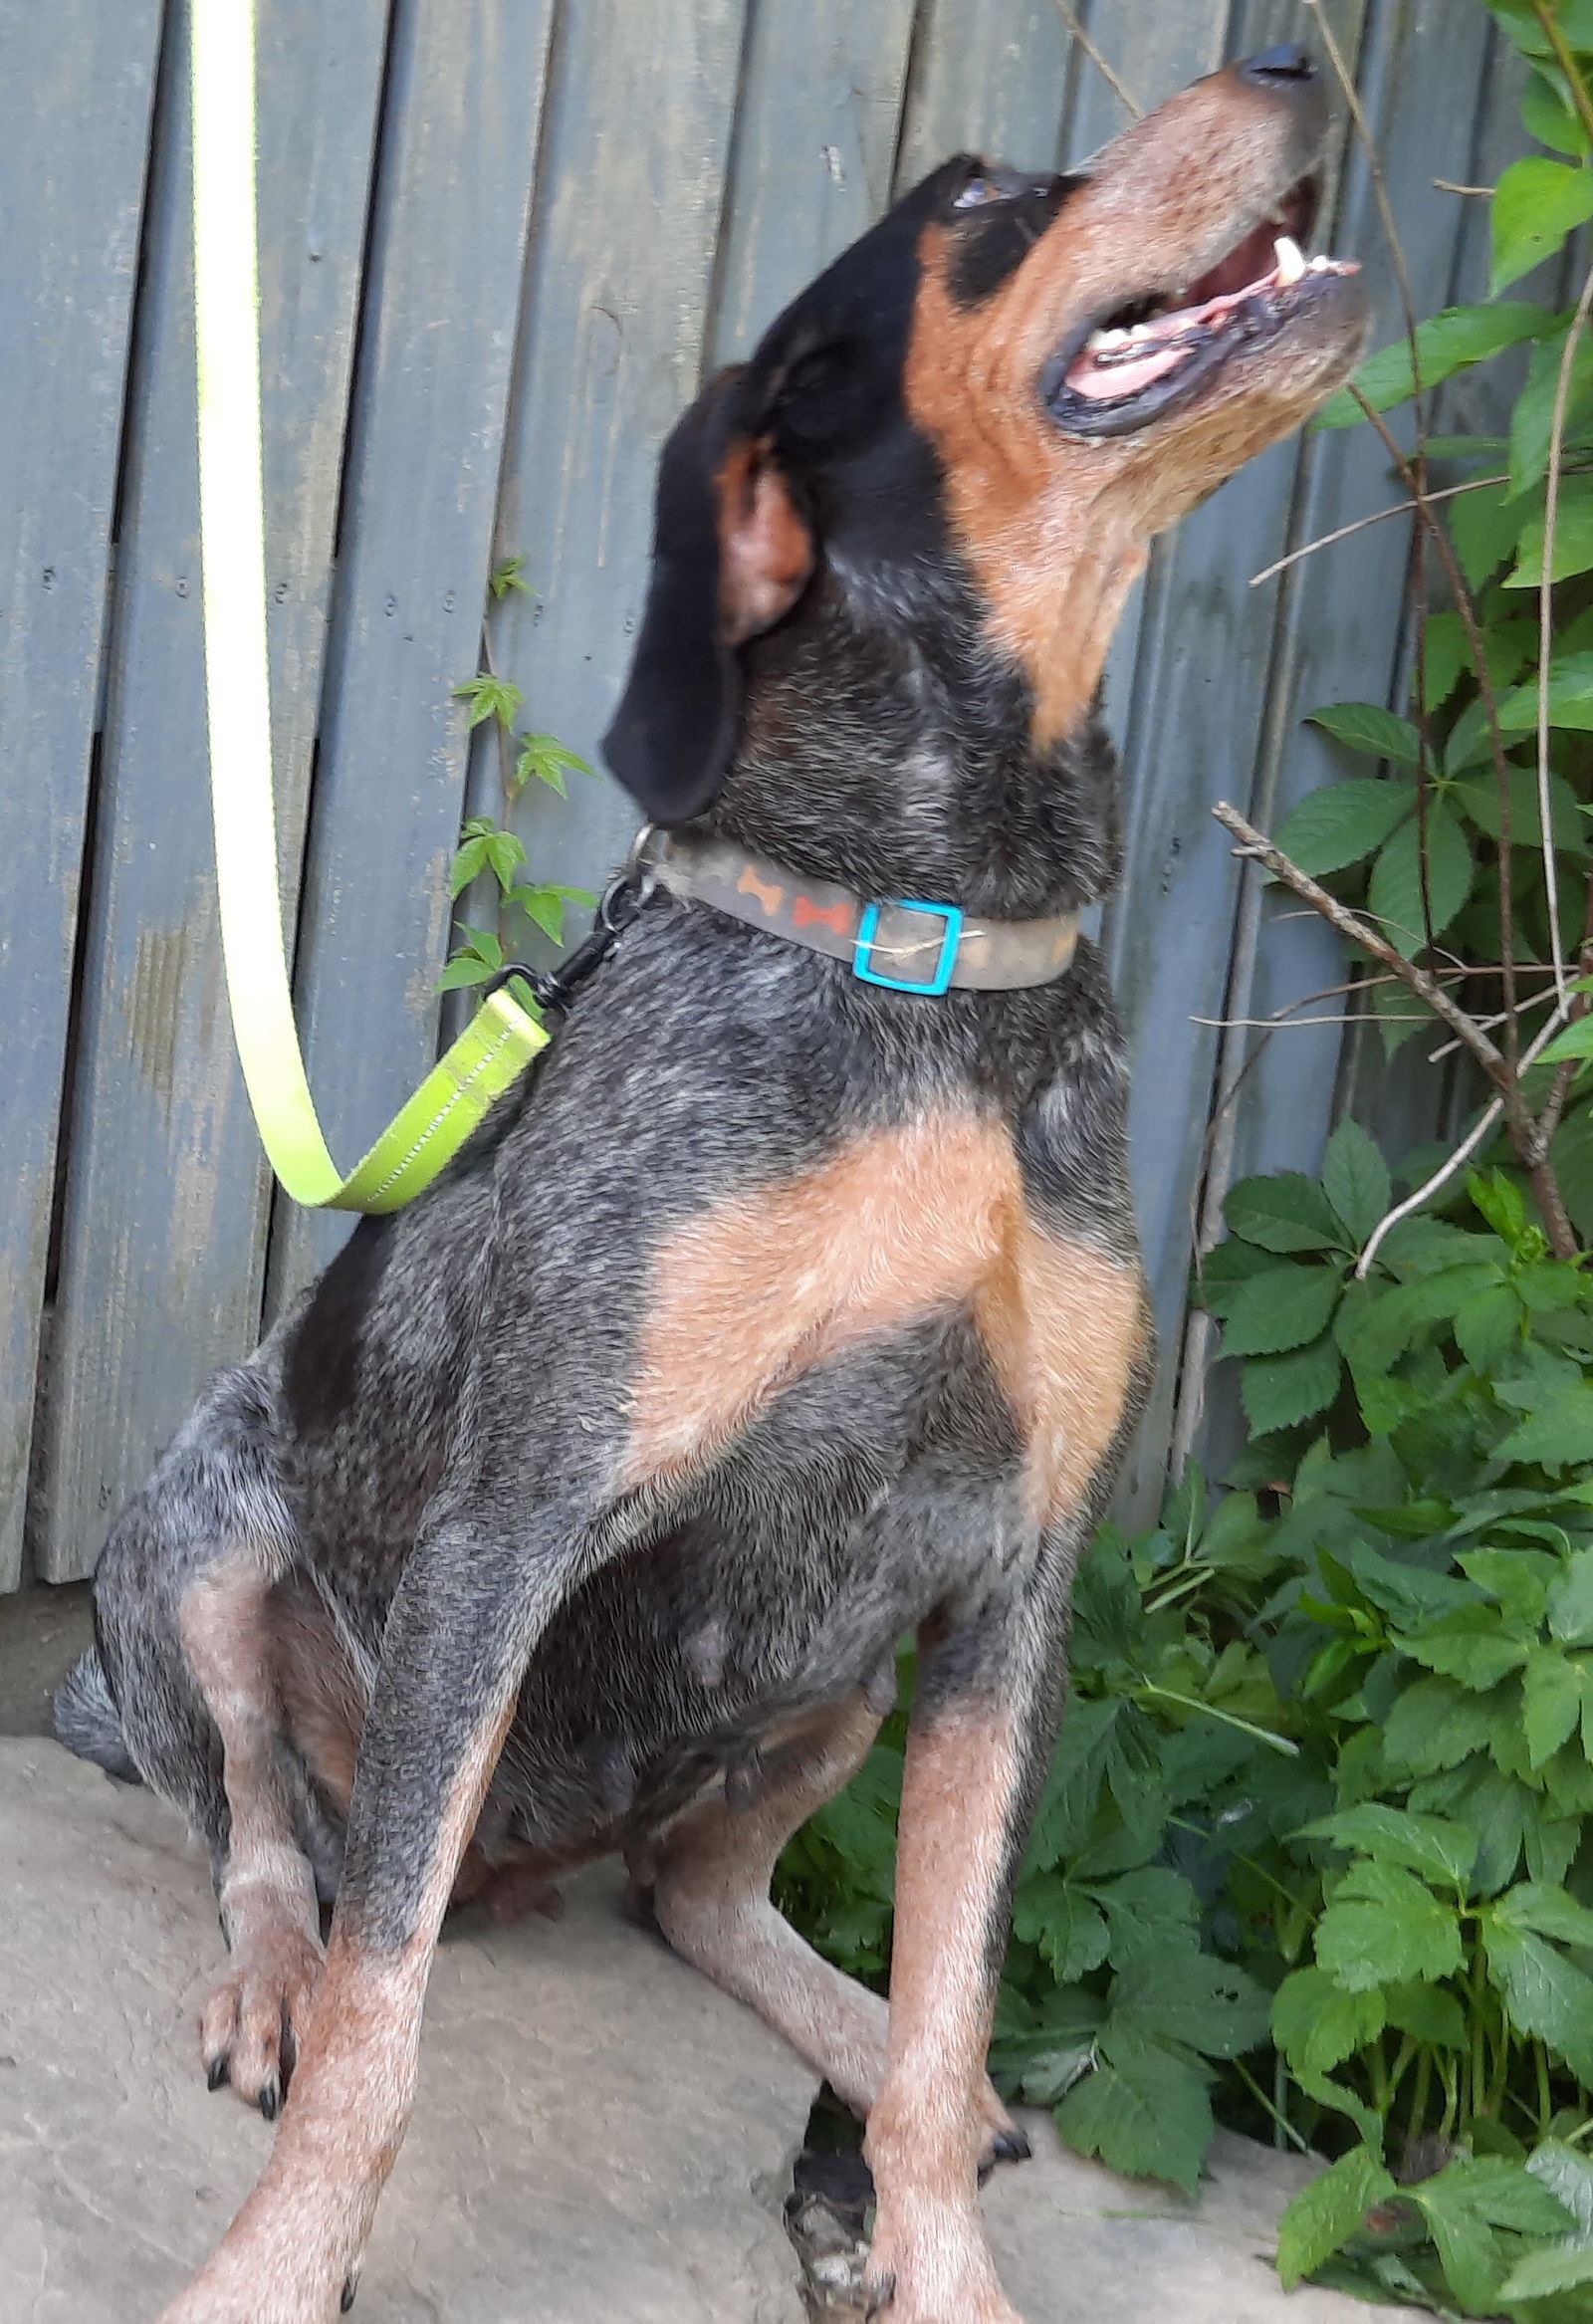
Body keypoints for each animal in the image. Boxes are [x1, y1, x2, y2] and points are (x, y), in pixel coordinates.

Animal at [56, 36, 1365, 2324]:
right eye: (974, 200)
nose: (1296, 53)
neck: (922, 941)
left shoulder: (1013, 1583)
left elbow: (945, 1997)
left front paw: (941, 2239)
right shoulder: (509, 1534)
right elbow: (382, 2022)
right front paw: (268, 2266)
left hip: (838, 1676)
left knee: (701, 1896)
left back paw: (896, 2044)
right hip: (203, 1542)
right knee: (278, 1846)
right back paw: (266, 1973)